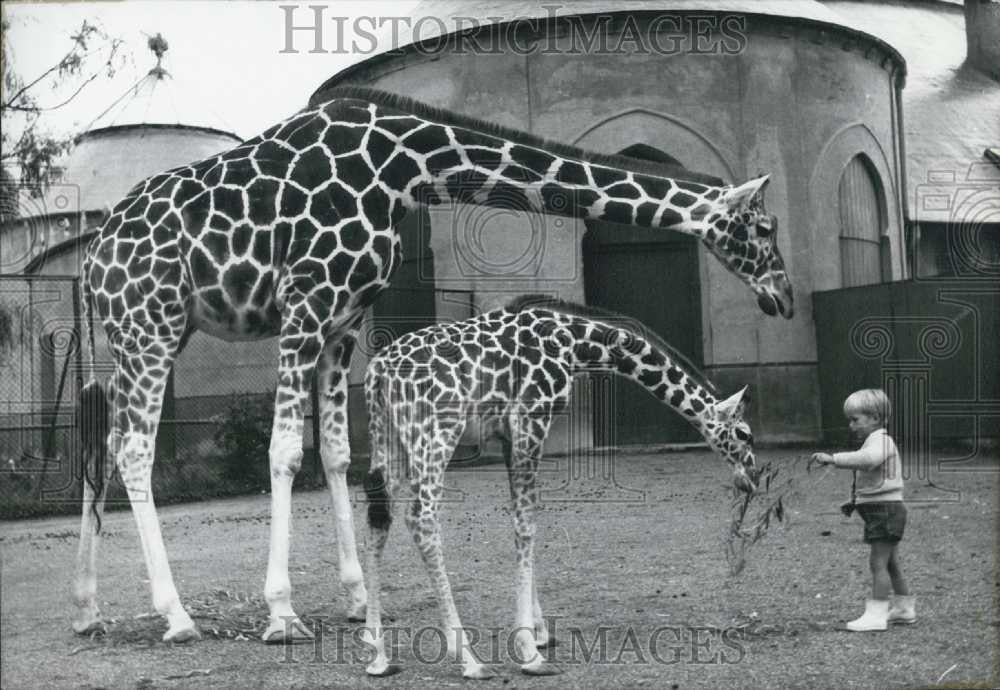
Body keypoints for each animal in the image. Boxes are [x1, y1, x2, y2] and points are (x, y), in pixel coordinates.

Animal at [356, 292, 752, 676]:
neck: (576, 345)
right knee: (420, 518)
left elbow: (521, 521)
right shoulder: (531, 420)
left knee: (379, 517)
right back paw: (468, 658)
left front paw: (540, 632)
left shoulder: (509, 434)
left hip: (389, 438)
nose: (751, 480)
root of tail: (377, 372)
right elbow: (527, 525)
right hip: (436, 434)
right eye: (744, 434)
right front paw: (529, 652)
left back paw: (378, 656)